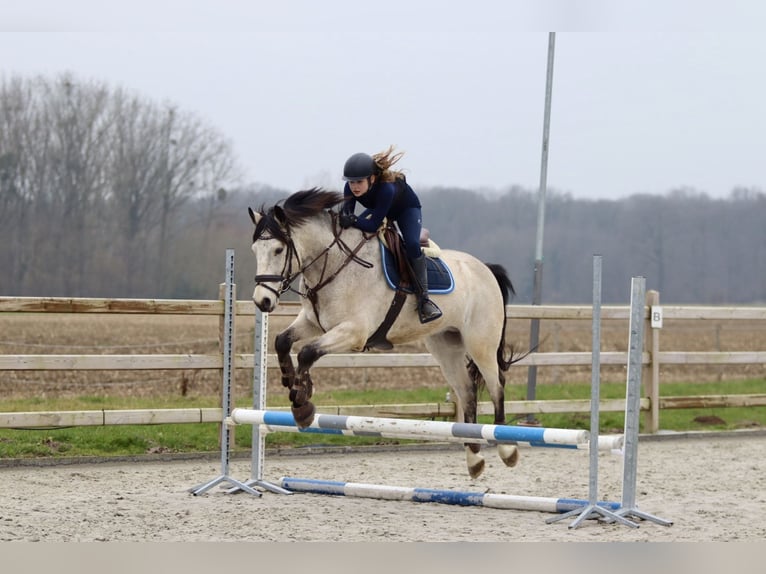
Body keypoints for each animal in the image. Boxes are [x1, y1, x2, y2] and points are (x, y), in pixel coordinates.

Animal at [252, 190, 520, 482]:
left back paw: (507, 449)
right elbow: (283, 341)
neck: (335, 264)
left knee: (496, 386)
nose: (262, 301)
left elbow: (307, 352)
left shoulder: (354, 331)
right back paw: (474, 458)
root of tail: (485, 269)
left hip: (480, 344)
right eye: (254, 250)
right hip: (445, 345)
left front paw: (302, 405)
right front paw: (294, 384)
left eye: (278, 250)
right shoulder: (313, 323)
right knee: (467, 391)